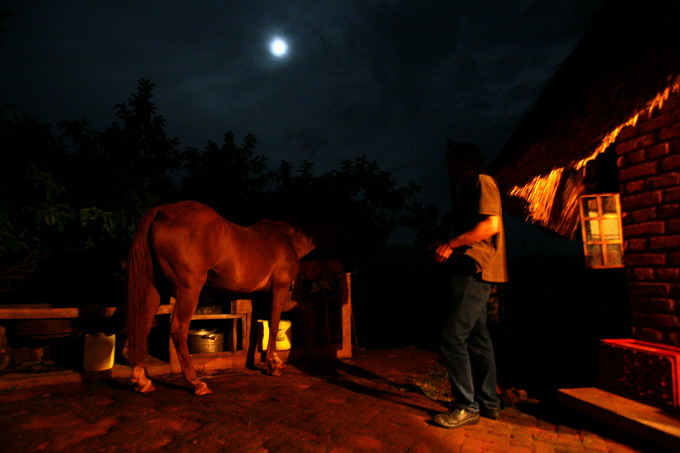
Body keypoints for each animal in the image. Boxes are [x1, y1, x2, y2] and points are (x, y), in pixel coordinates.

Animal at [125, 200, 316, 394]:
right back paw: (196, 382)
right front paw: (274, 365)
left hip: (154, 286)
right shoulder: (279, 289)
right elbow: (274, 322)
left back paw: (142, 380)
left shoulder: (261, 295)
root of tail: (160, 211)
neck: (288, 238)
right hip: (189, 288)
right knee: (178, 328)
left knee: (144, 321)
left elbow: (260, 327)